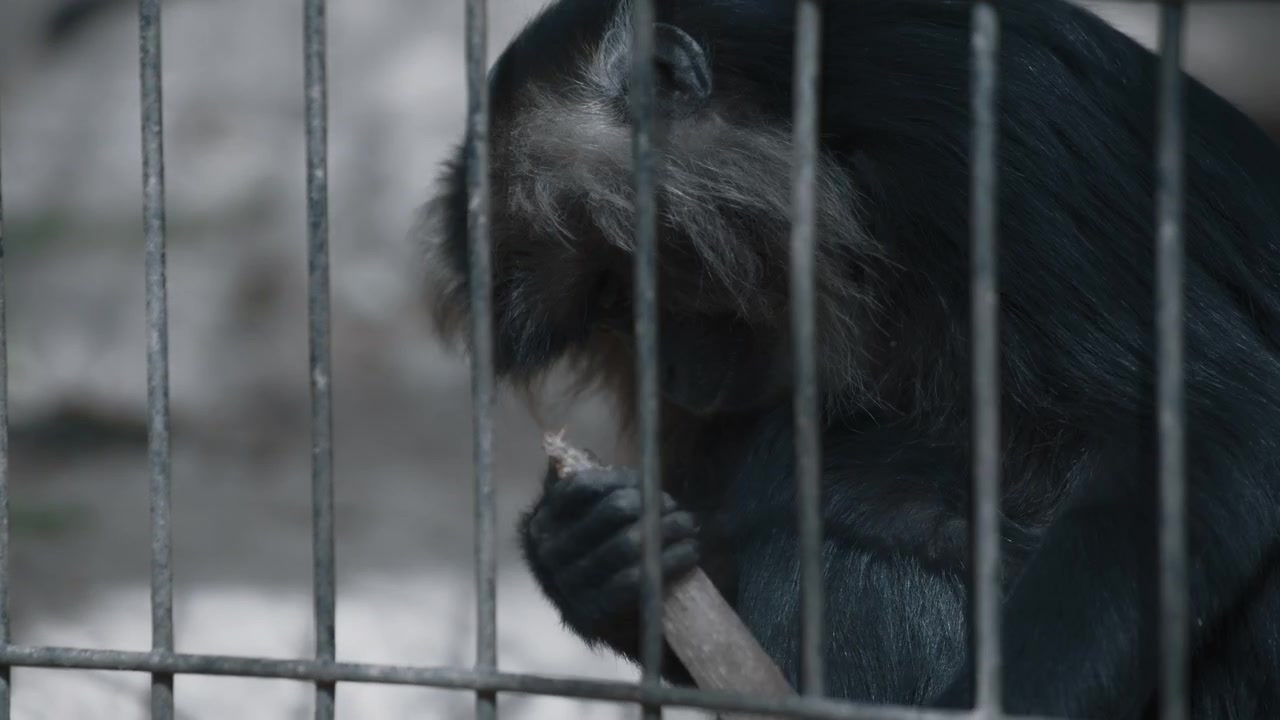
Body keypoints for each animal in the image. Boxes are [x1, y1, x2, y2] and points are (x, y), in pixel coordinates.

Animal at [418, 0, 1280, 716]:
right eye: (607, 309)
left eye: (626, 279)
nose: (672, 374)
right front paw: (584, 560)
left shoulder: (982, 131)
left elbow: (1213, 436)